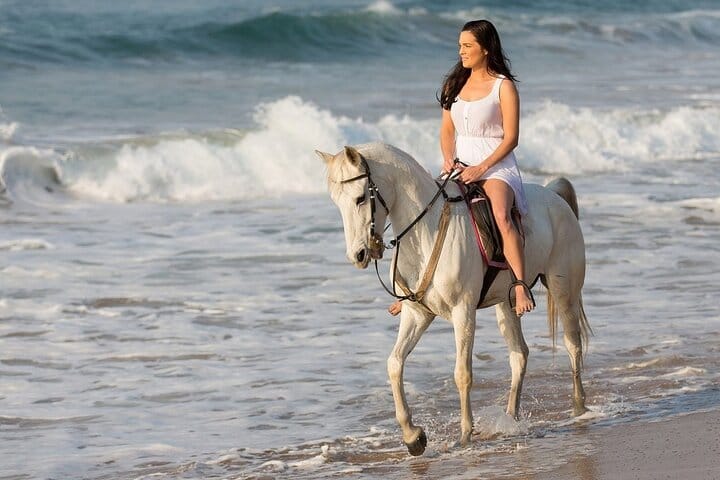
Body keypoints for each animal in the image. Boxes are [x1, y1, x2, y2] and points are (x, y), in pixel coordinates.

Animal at [316, 142, 591, 456]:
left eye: (361, 198)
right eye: (337, 202)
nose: (358, 255)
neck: (426, 231)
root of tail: (555, 197)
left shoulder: (463, 311)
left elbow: (462, 374)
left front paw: (464, 436)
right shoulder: (417, 315)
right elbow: (394, 364)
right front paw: (413, 436)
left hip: (563, 291)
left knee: (573, 345)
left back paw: (579, 409)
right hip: (505, 304)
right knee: (519, 355)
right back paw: (510, 419)